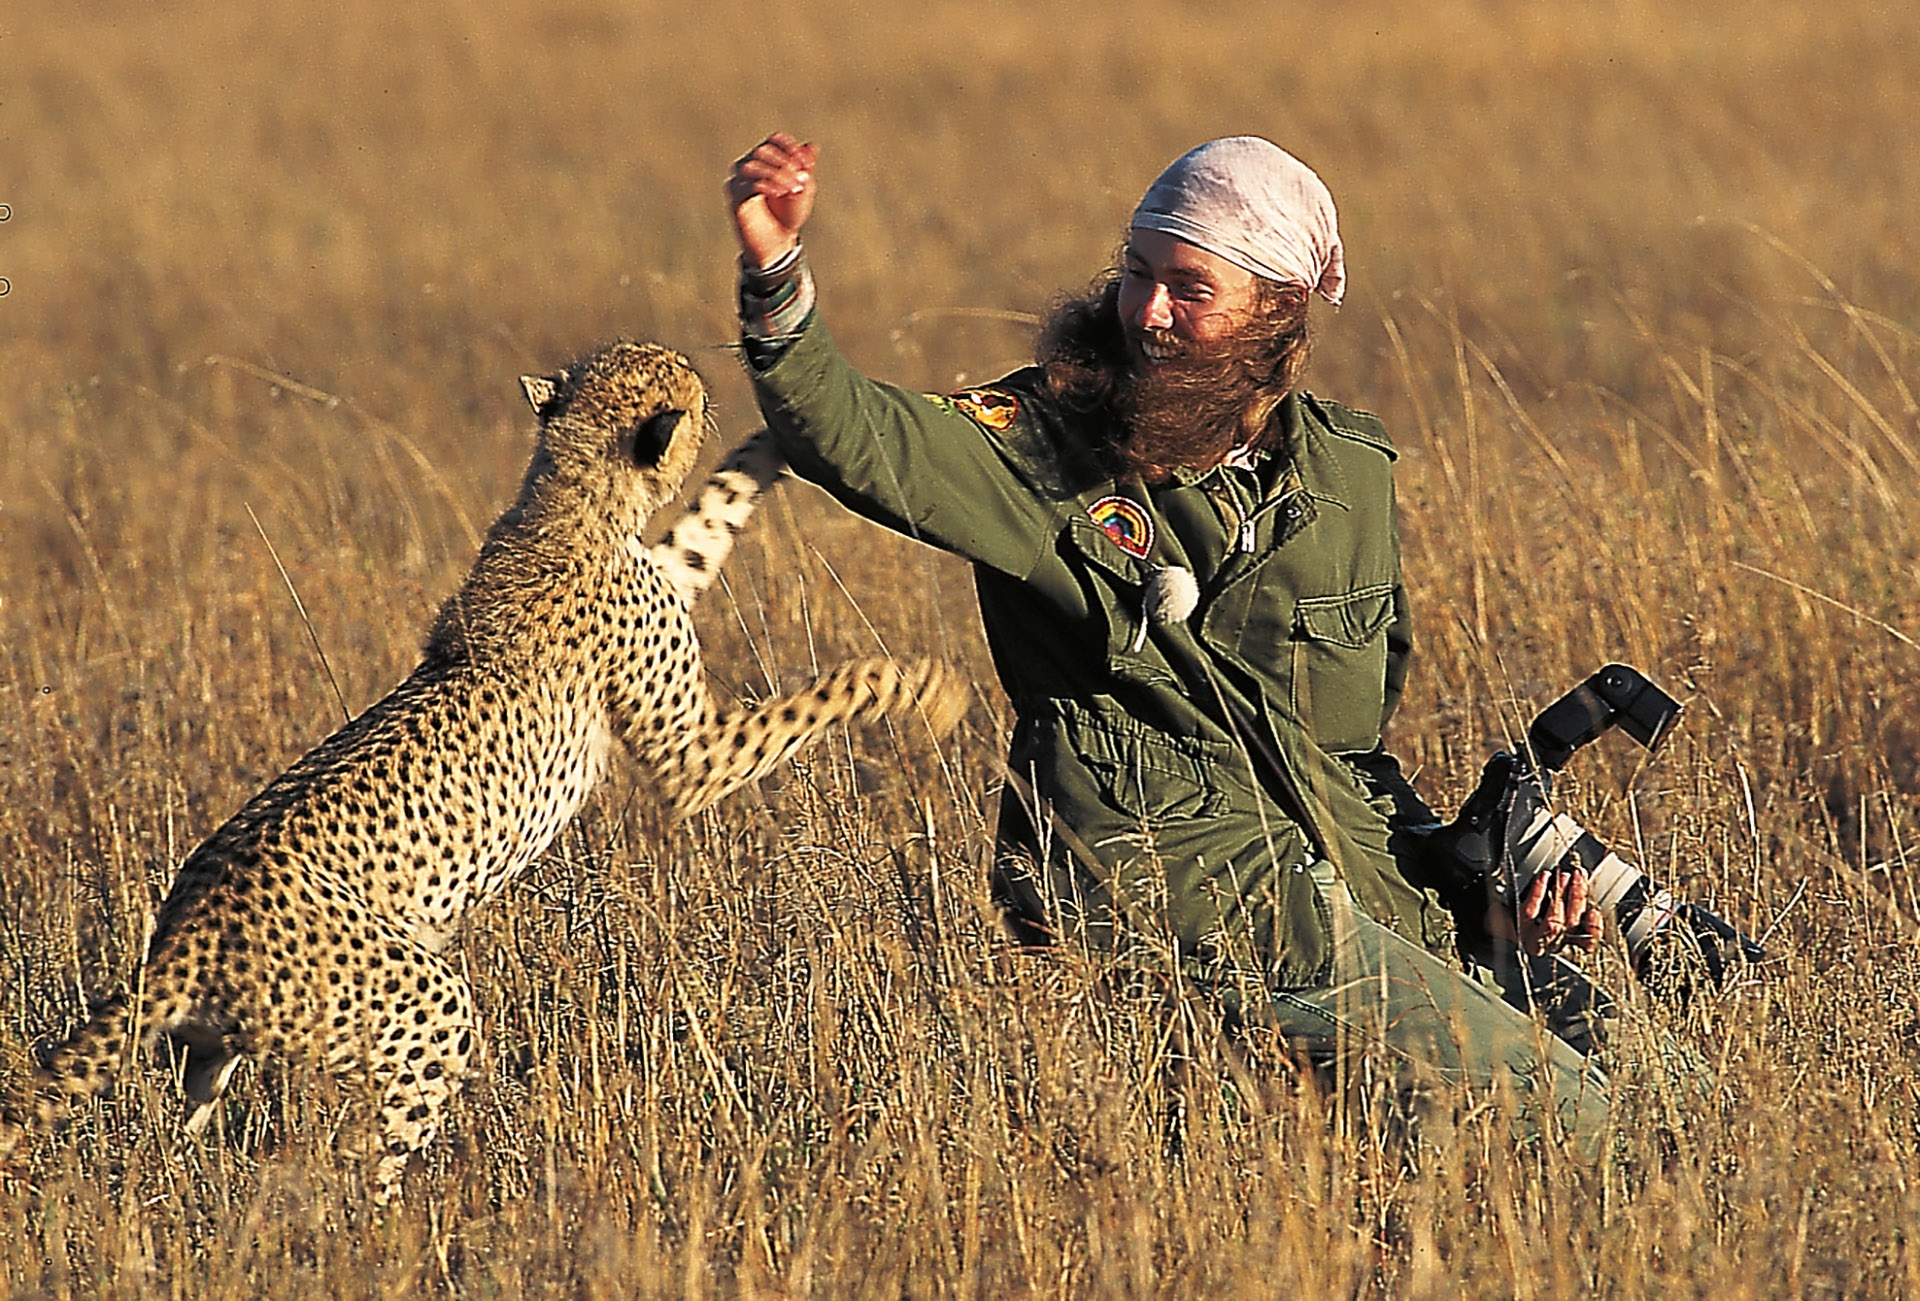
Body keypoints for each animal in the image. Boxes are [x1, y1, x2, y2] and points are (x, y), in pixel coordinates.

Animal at [0, 339, 960, 1205]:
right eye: (675, 375)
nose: (709, 372)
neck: (568, 496)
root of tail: (184, 931)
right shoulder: (689, 751)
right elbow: (805, 701)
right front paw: (919, 685)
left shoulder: (669, 578)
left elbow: (711, 512)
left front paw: (774, 443)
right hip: (426, 1004)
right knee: (366, 1156)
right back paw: (393, 1230)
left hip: (219, 1044)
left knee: (189, 1110)